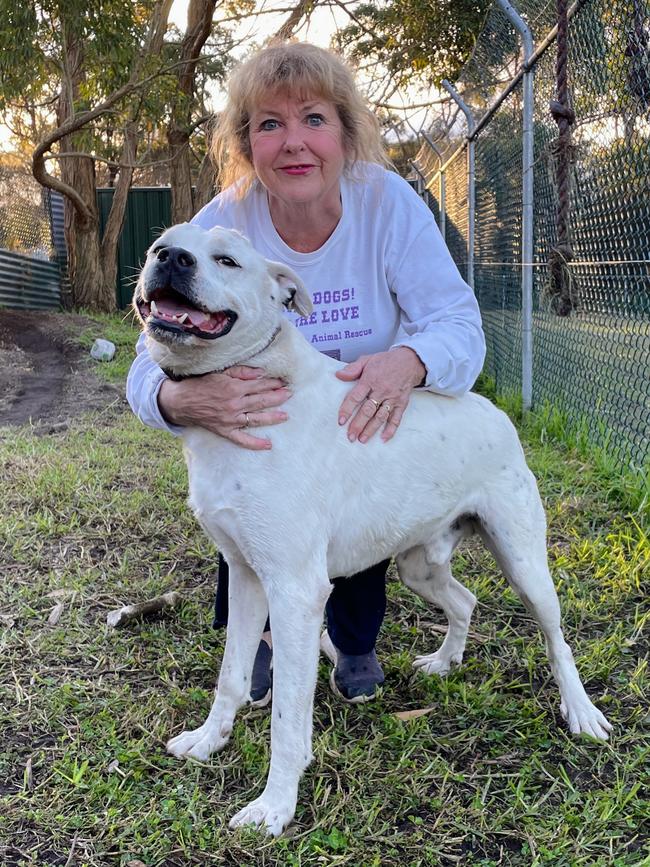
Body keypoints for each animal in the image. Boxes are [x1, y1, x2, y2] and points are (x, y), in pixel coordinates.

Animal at [134, 225, 612, 840]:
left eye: (227, 260)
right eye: (160, 247)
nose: (170, 258)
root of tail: (494, 410)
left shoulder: (296, 592)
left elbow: (288, 717)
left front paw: (275, 805)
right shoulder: (246, 576)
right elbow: (232, 678)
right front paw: (208, 741)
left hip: (524, 563)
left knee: (557, 639)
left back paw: (582, 713)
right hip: (418, 564)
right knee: (465, 599)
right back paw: (444, 662)